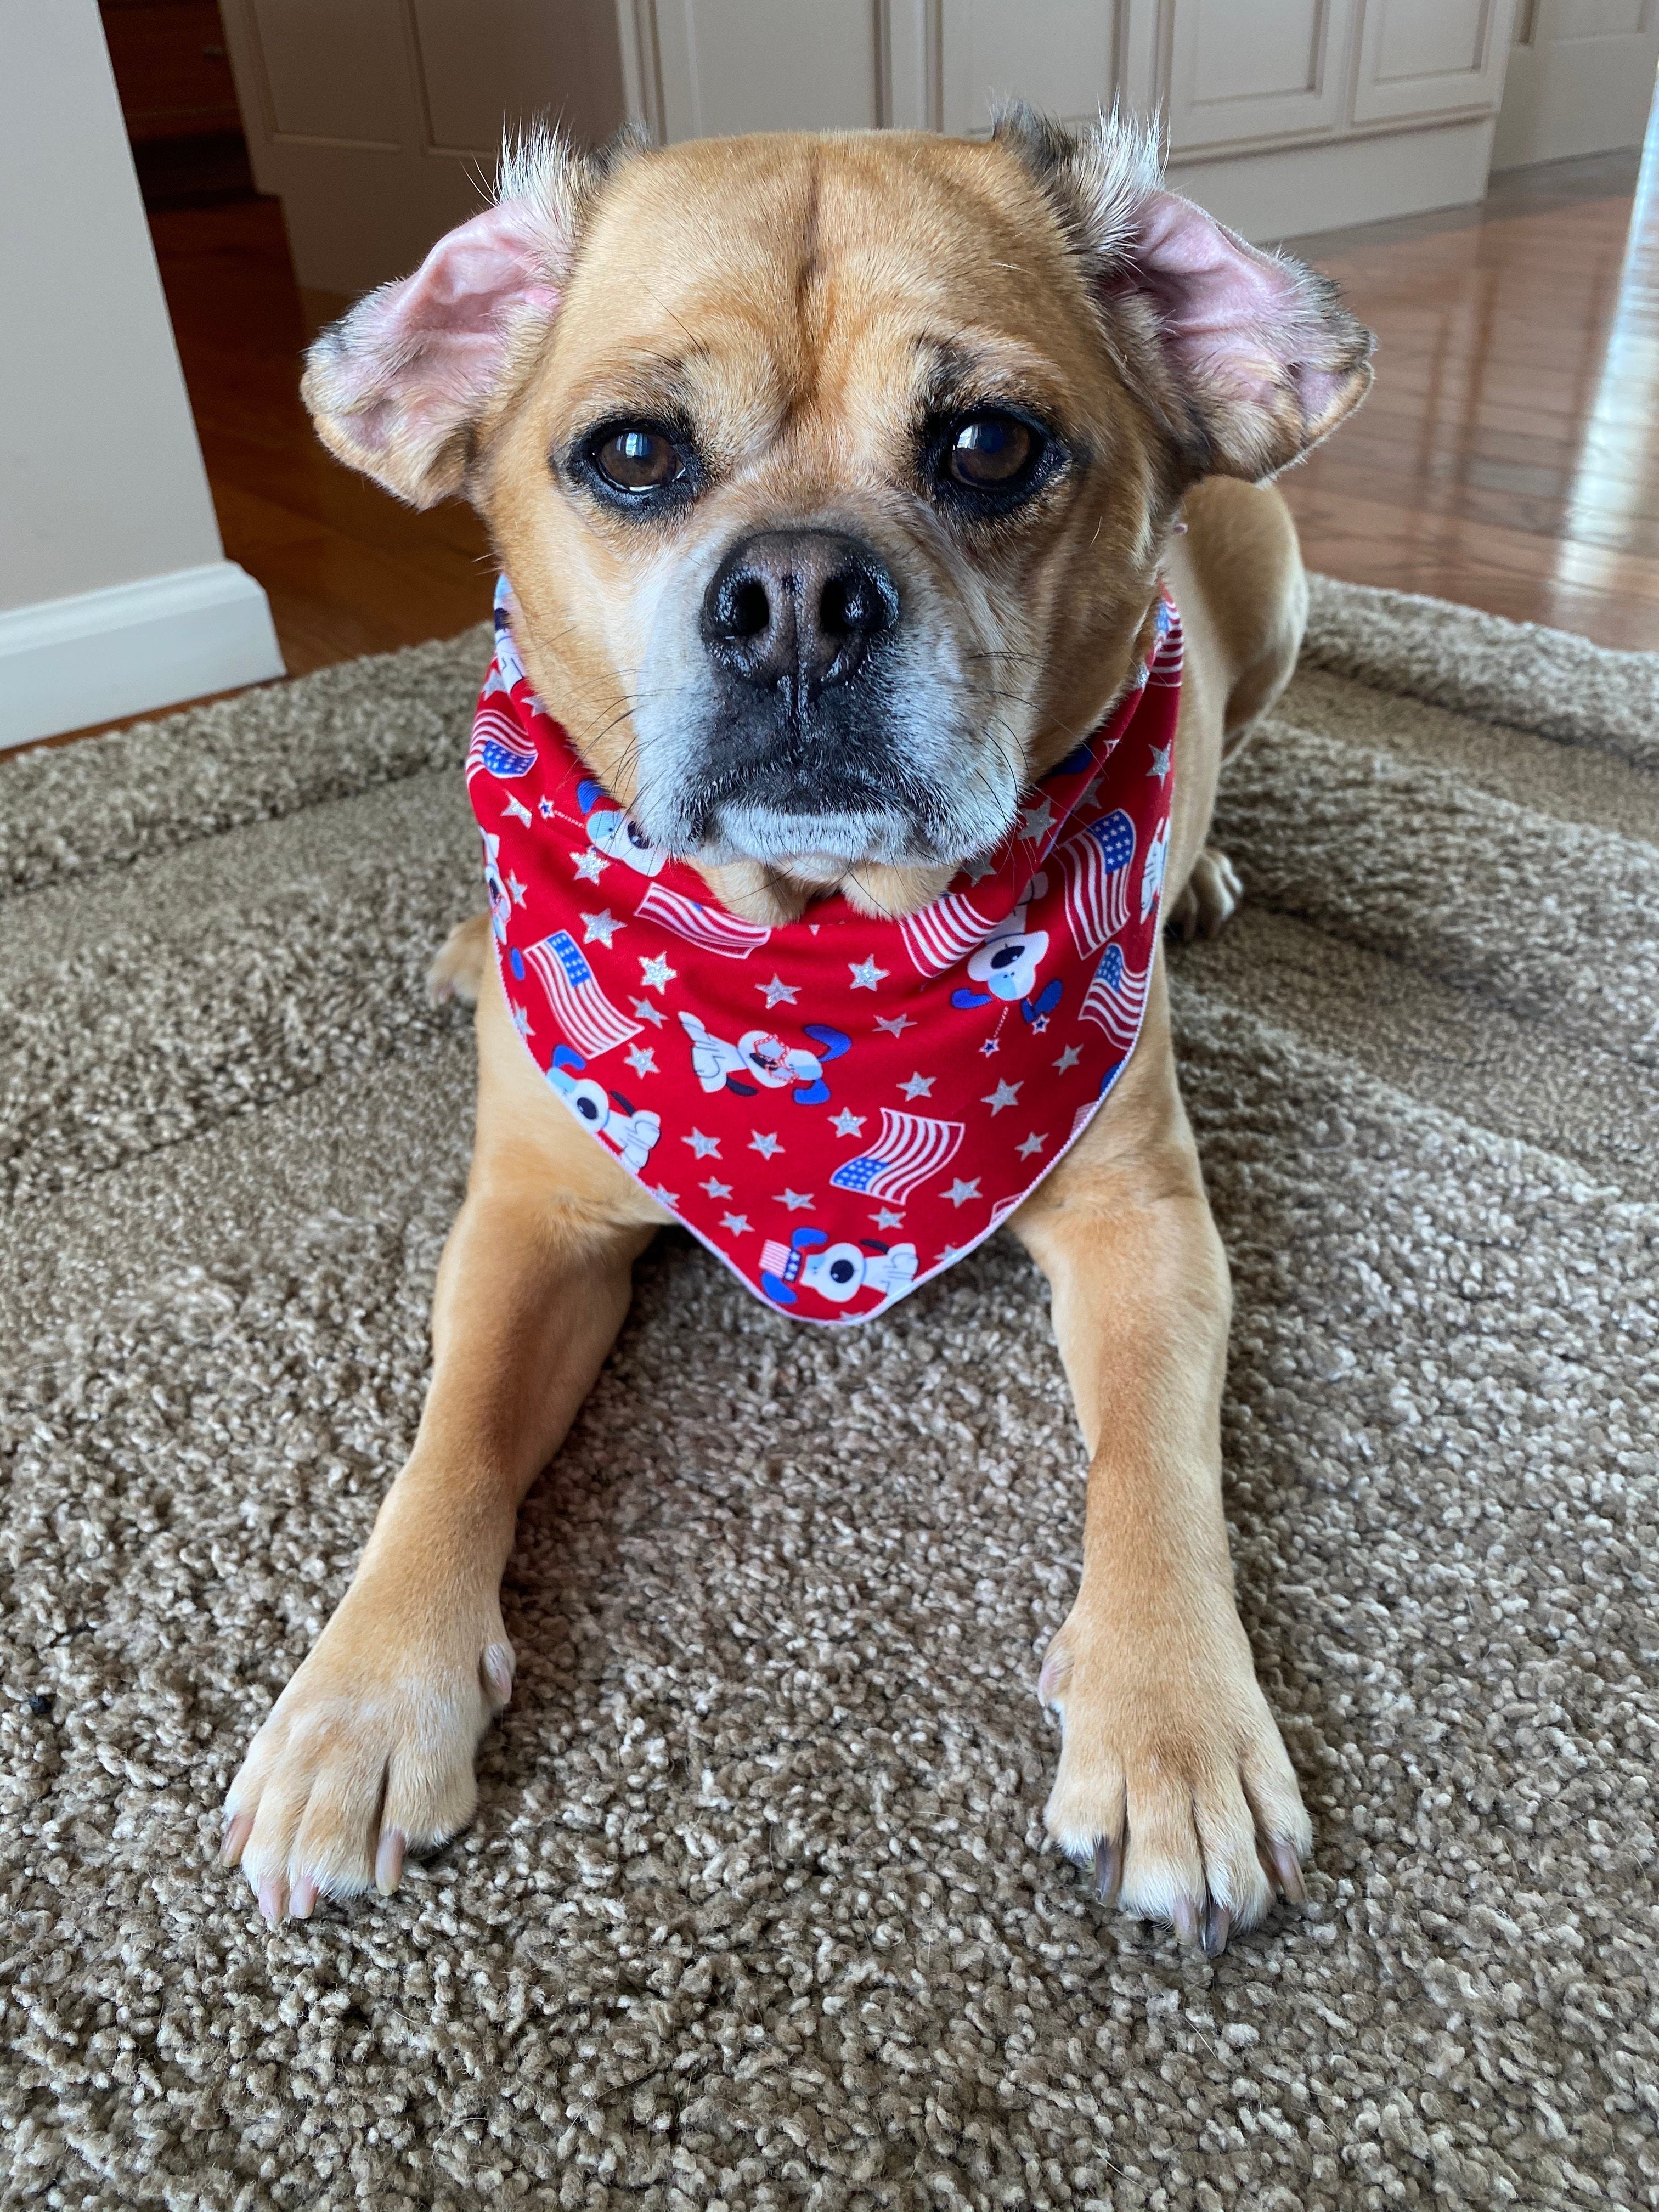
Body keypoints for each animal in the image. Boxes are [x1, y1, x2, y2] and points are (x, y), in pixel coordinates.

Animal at [224, 116, 1380, 1955]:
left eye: (990, 444)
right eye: (632, 452)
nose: (796, 592)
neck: (812, 952)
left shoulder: (1148, 1226)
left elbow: (1154, 1471)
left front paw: (1174, 1727)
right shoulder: (531, 1223)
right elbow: (449, 1446)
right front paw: (362, 1699)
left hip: (1270, 587)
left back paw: (1200, 871)